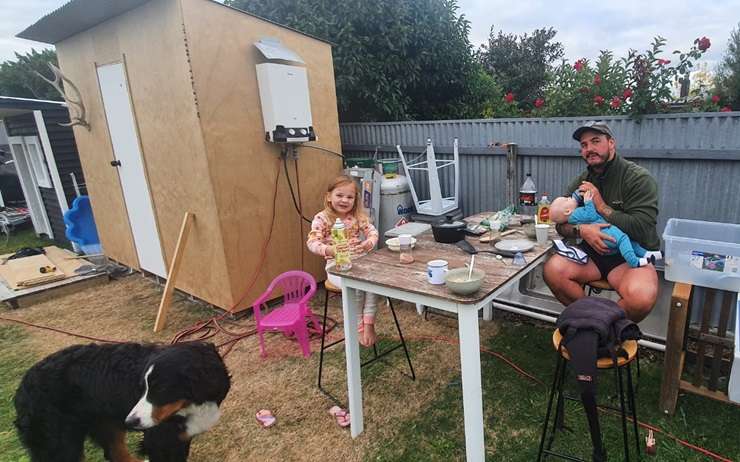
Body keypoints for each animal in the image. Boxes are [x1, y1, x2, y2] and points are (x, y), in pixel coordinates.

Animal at [12, 342, 231, 460]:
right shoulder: (159, 441)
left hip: (105, 425)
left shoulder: (181, 439)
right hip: (59, 446)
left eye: (160, 389)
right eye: (142, 388)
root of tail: (23, 385)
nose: (131, 421)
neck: (191, 405)